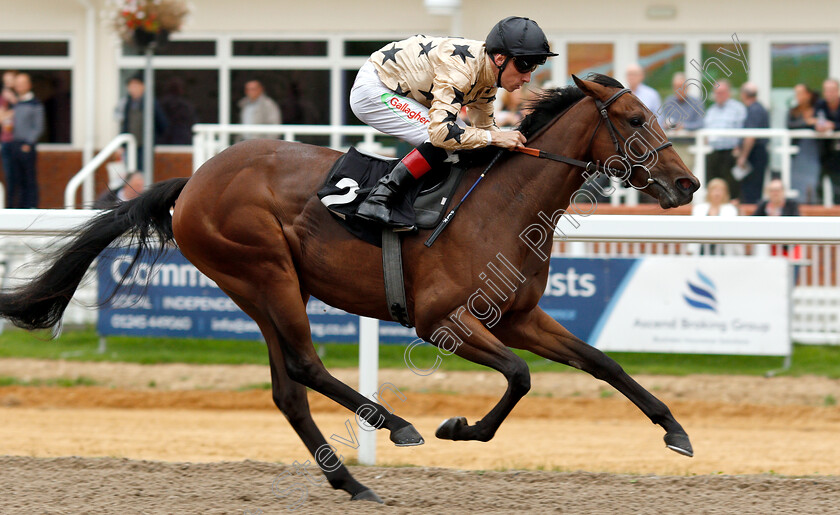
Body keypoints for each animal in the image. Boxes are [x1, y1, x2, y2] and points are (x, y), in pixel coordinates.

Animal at [0, 76, 700, 504]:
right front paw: (459, 428)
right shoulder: (441, 321)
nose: (688, 184)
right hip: (265, 272)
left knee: (287, 387)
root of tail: (193, 180)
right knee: (307, 366)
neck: (500, 205)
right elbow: (520, 376)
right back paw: (398, 427)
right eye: (633, 118)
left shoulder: (520, 316)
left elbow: (602, 362)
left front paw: (674, 430)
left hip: (259, 288)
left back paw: (351, 483)